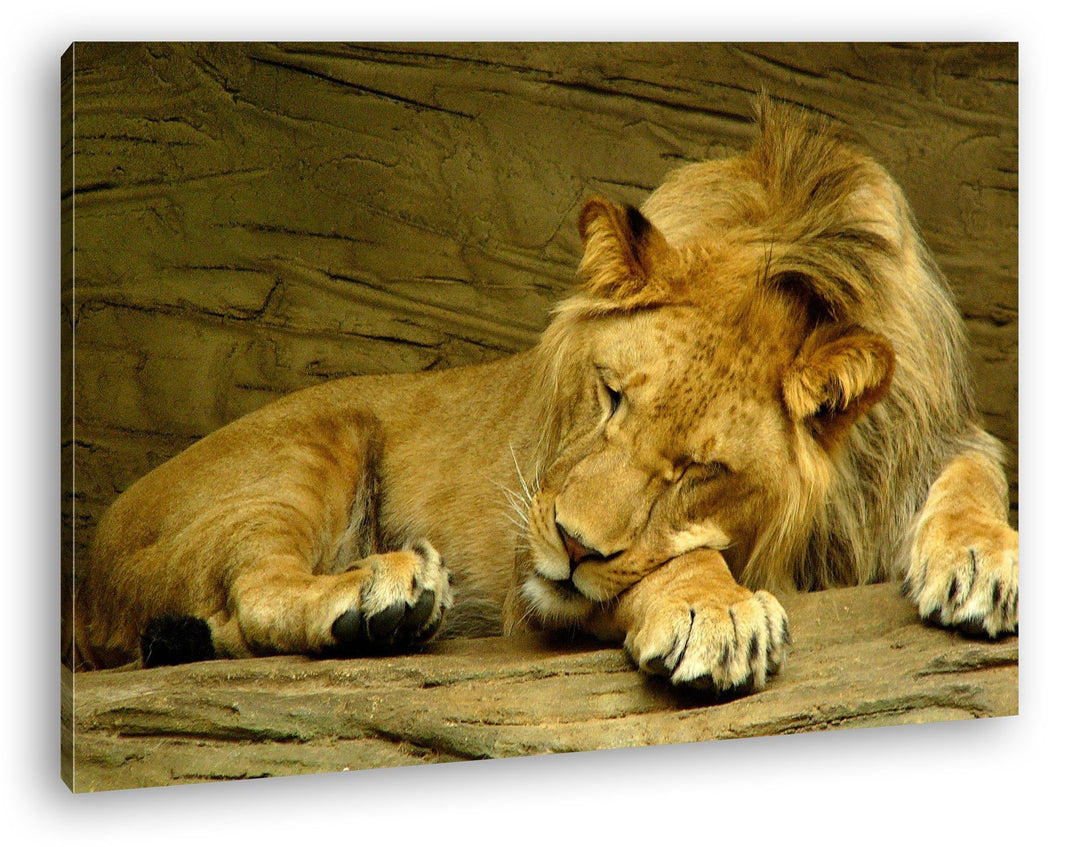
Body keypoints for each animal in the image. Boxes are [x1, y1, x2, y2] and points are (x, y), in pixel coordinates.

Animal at [71, 100, 1018, 696]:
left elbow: (979, 476)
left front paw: (986, 562)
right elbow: (662, 567)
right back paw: (385, 596)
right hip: (310, 447)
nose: (571, 544)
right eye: (609, 396)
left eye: (700, 468)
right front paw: (713, 609)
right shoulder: (527, 602)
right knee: (254, 590)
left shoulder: (936, 436)